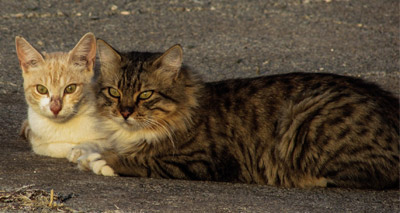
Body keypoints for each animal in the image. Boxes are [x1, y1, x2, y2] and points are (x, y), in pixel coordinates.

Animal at [76, 39, 398, 189]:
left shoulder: (201, 161)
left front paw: (103, 160)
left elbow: (141, 160)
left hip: (305, 119)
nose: (125, 112)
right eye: (114, 92)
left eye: (145, 94)